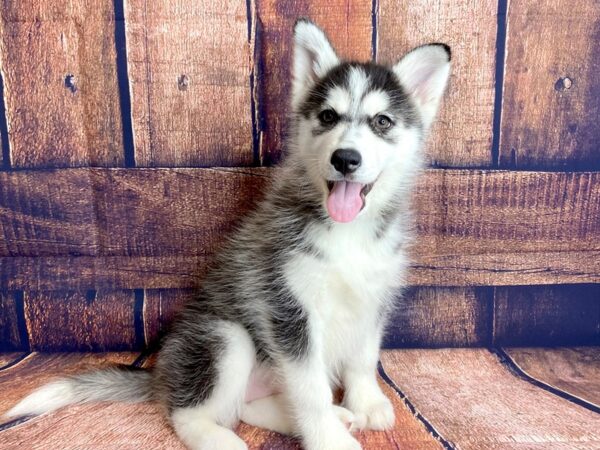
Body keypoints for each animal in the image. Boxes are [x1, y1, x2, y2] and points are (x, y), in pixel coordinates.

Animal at [8, 19, 450, 450]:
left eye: (382, 122)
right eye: (328, 116)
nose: (345, 159)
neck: (346, 232)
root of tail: (160, 374)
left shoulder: (373, 296)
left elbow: (363, 357)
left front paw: (367, 402)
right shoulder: (288, 309)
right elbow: (311, 392)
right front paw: (330, 441)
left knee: (247, 407)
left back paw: (325, 416)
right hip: (224, 336)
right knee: (191, 413)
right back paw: (223, 439)